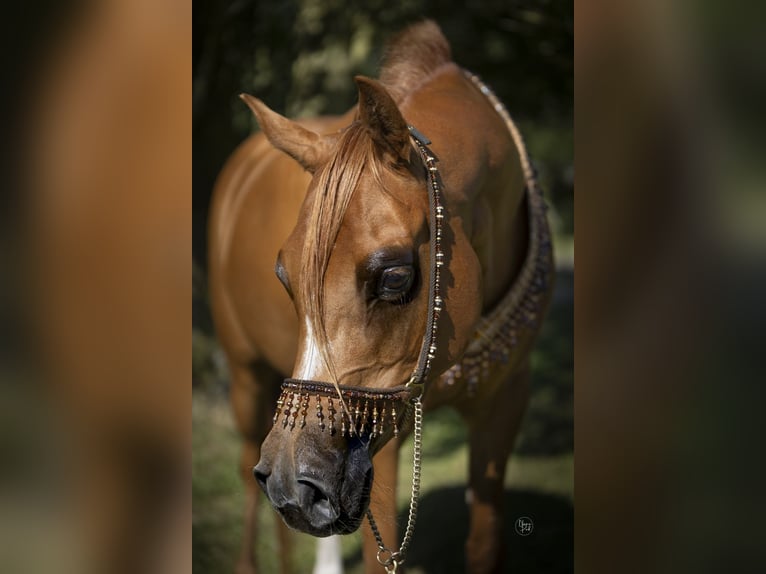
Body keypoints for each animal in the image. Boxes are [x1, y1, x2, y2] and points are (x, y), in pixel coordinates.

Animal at [210, 20, 556, 574]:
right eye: (285, 278)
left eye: (394, 278)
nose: (290, 485)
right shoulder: (380, 443)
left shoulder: (506, 399)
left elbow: (483, 543)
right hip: (245, 376)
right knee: (246, 473)